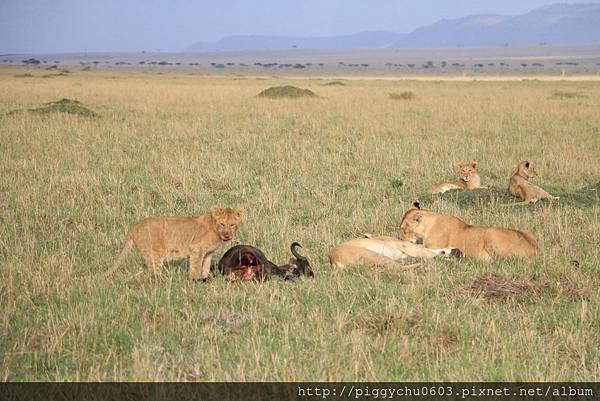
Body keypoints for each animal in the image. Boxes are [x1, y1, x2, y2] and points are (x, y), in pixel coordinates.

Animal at [106, 206, 243, 278]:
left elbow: (205, 266)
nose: (227, 235)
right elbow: (195, 266)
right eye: (222, 224)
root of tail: (134, 227)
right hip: (155, 254)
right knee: (153, 272)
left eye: (232, 225)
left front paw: (204, 278)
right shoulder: (196, 249)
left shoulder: (208, 253)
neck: (215, 230)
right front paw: (195, 280)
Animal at [326, 233, 462, 268]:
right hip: (376, 256)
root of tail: (332, 259)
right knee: (397, 268)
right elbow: (426, 251)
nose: (459, 252)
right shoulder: (405, 246)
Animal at [398, 203, 540, 260]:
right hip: (528, 232)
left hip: (491, 233)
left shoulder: (433, 245)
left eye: (404, 230)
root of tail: (535, 250)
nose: (400, 239)